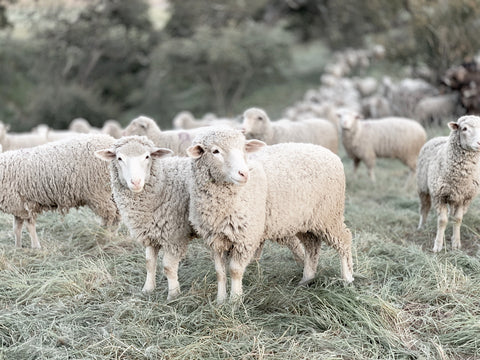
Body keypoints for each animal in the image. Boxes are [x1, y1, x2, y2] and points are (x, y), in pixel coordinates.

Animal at [94, 136, 196, 300]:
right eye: (119, 158)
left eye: (147, 156)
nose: (135, 182)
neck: (164, 183)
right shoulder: (150, 232)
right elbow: (149, 263)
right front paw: (148, 289)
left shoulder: (174, 236)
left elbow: (168, 267)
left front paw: (173, 295)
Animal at [188, 128, 352, 302]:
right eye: (215, 151)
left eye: (244, 149)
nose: (243, 174)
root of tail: (330, 153)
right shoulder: (215, 239)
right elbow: (220, 272)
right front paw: (220, 301)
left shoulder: (246, 237)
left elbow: (234, 270)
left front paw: (235, 300)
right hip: (305, 220)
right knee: (312, 246)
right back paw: (306, 279)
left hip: (329, 215)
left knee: (344, 240)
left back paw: (347, 278)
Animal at [414, 116, 480, 252]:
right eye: (464, 128)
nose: (479, 143)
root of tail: (438, 137)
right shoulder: (439, 196)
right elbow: (442, 221)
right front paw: (438, 245)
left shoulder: (464, 197)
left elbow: (458, 219)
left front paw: (456, 243)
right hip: (422, 187)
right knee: (424, 208)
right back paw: (421, 226)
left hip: (453, 196)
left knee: (451, 213)